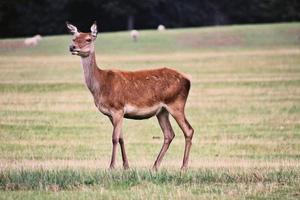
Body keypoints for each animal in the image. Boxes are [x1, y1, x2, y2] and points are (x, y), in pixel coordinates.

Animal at [66, 21, 195, 170]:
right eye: (74, 38)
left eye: (88, 39)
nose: (72, 47)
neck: (100, 86)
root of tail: (188, 80)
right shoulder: (111, 114)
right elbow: (121, 137)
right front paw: (126, 166)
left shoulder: (117, 108)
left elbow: (114, 138)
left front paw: (111, 166)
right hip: (162, 111)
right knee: (169, 134)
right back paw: (155, 166)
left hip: (176, 103)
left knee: (188, 130)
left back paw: (183, 167)